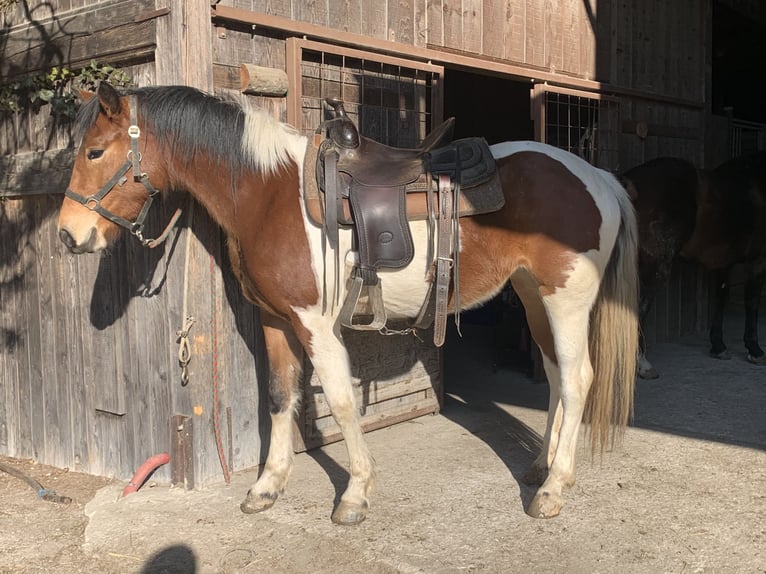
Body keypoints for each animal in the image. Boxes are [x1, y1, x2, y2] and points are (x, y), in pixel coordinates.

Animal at [57, 82, 639, 523]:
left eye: (94, 152)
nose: (69, 235)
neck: (267, 193)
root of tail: (599, 178)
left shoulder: (315, 324)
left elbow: (338, 401)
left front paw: (356, 493)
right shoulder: (275, 320)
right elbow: (279, 397)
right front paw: (267, 487)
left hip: (566, 301)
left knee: (577, 379)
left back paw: (553, 489)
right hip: (533, 296)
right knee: (555, 375)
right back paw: (540, 467)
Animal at [623, 153, 766, 379]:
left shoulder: (723, 263)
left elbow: (720, 298)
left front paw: (719, 347)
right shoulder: (757, 260)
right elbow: (752, 302)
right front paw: (755, 350)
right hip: (655, 268)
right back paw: (643, 366)